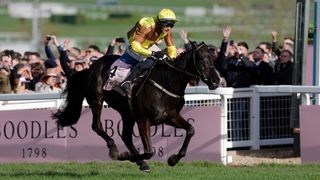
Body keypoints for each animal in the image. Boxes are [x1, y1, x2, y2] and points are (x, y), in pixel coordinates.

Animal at [53, 41, 221, 172]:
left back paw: (140, 162)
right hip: (97, 100)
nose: (215, 80)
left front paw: (173, 159)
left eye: (212, 58)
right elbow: (149, 151)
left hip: (126, 112)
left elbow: (190, 130)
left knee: (125, 135)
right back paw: (115, 151)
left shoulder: (170, 117)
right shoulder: (143, 120)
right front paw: (125, 155)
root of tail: (91, 66)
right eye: (201, 58)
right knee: (97, 126)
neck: (166, 81)